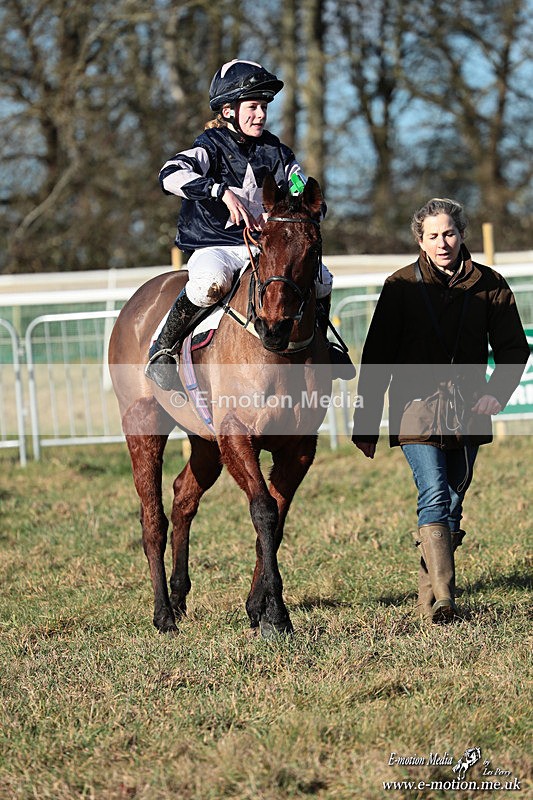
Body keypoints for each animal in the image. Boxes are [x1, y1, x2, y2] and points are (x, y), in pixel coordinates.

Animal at [108, 174, 332, 639]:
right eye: (260, 243)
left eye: (313, 248)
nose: (275, 325)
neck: (279, 355)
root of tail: (138, 299)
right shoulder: (237, 436)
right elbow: (263, 510)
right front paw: (276, 614)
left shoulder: (299, 448)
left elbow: (278, 518)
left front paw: (258, 607)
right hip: (143, 424)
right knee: (152, 518)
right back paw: (163, 614)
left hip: (204, 441)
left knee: (183, 498)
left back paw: (178, 598)